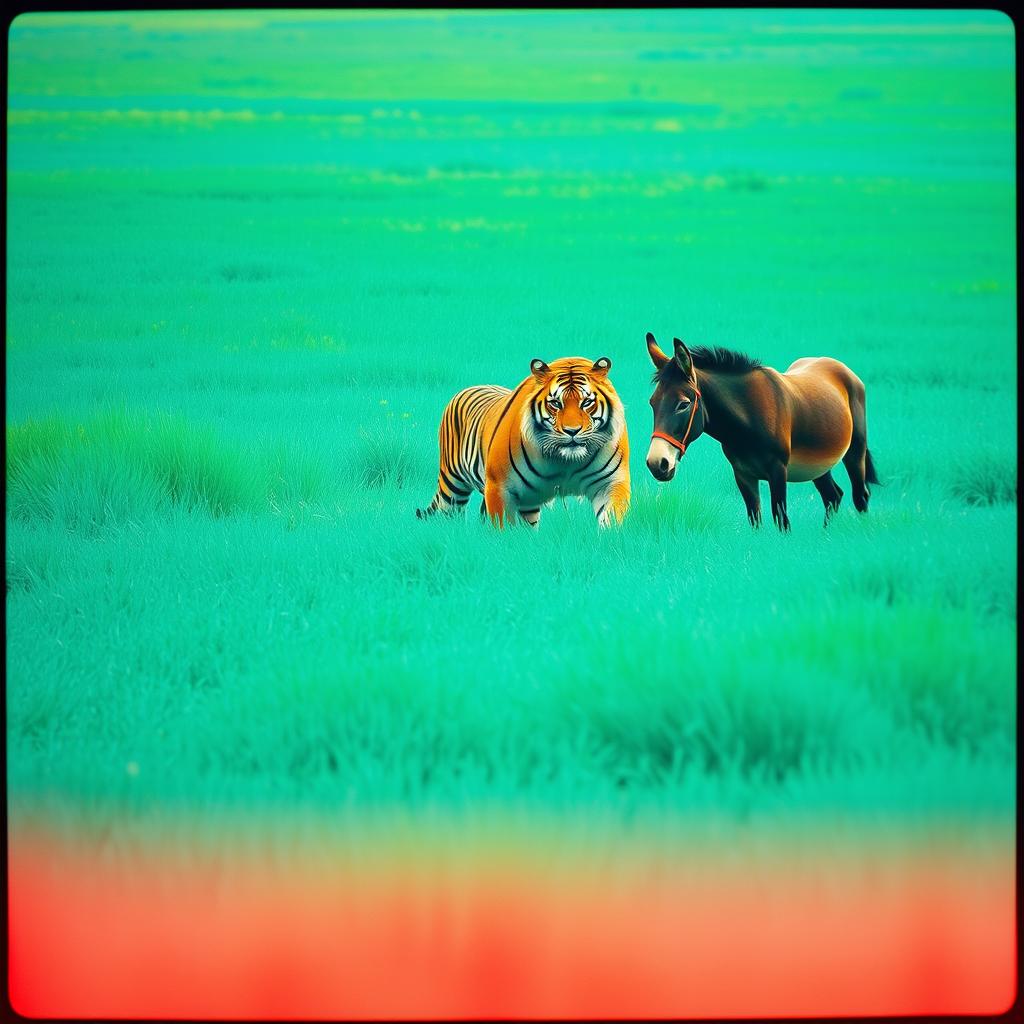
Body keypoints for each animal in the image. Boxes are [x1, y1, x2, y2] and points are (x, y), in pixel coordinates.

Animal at [416, 356, 630, 528]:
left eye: (586, 402)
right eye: (556, 403)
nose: (572, 431)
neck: (565, 461)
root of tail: (469, 388)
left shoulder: (611, 484)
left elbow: (611, 521)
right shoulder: (500, 487)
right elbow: (504, 529)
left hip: (528, 501)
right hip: (452, 487)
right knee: (448, 515)